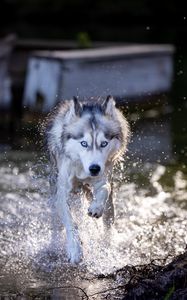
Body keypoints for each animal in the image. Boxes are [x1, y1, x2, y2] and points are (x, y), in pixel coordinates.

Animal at [44, 95, 129, 262]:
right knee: (56, 224)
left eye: (104, 143)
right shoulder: (62, 193)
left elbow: (104, 189)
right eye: (84, 143)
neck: (82, 170)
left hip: (109, 205)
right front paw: (75, 250)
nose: (94, 168)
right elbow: (71, 223)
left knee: (108, 222)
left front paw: (96, 208)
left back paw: (107, 245)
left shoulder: (103, 179)